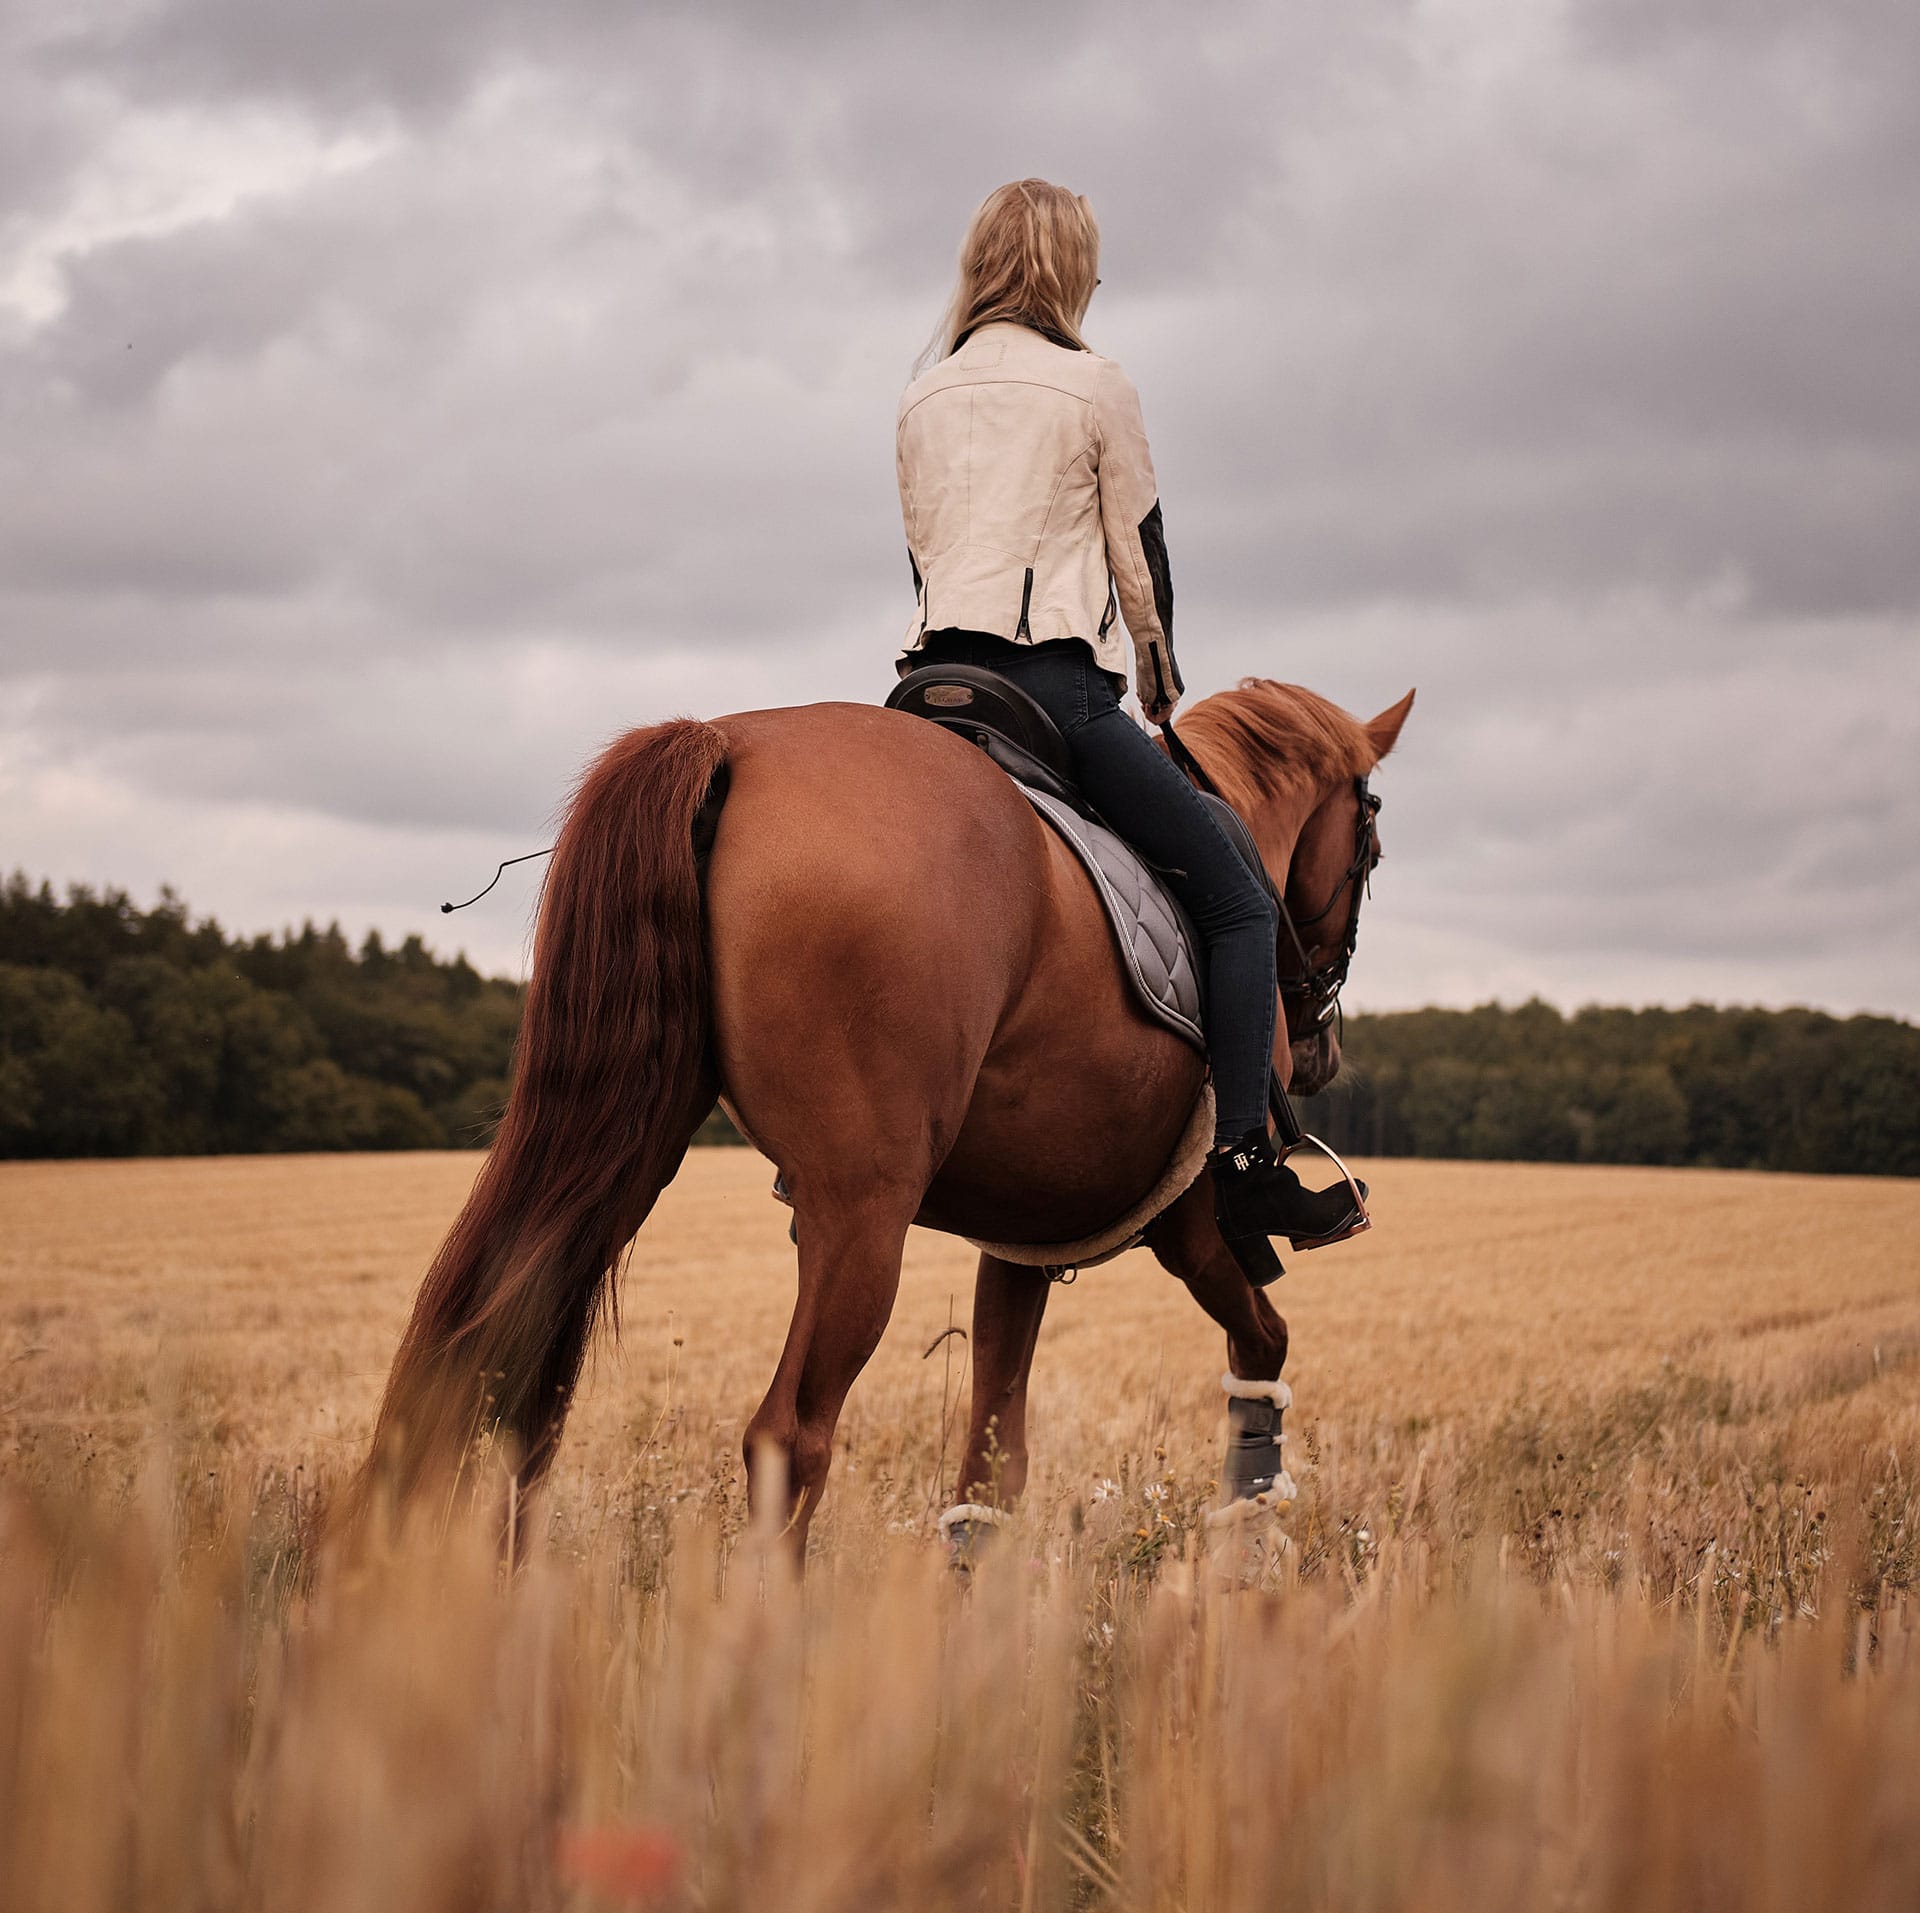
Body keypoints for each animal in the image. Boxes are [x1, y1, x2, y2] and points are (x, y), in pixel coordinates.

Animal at [357, 679, 1413, 1544]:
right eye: (1370, 845)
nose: (1323, 1047)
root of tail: (727, 742)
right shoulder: (1194, 1223)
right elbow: (1264, 1341)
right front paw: (1253, 1521)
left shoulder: (1022, 1238)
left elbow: (992, 1461)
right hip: (862, 1207)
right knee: (789, 1435)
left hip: (632, 1135)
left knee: (492, 1357)